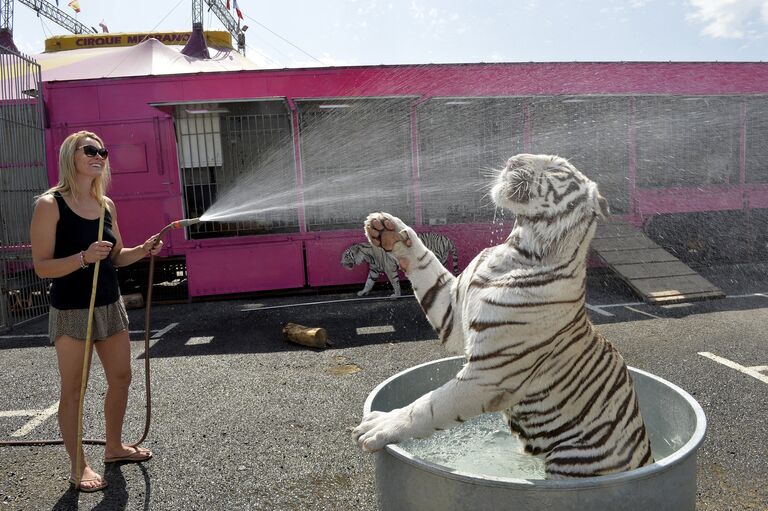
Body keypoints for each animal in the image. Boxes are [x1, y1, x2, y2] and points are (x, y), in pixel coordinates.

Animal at [354, 153, 656, 480]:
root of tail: (648, 459)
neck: (517, 249)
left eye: (556, 168)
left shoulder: (488, 376)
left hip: (573, 460)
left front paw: (380, 426)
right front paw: (388, 229)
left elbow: (427, 407)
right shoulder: (451, 315)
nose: (512, 160)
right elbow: (426, 265)